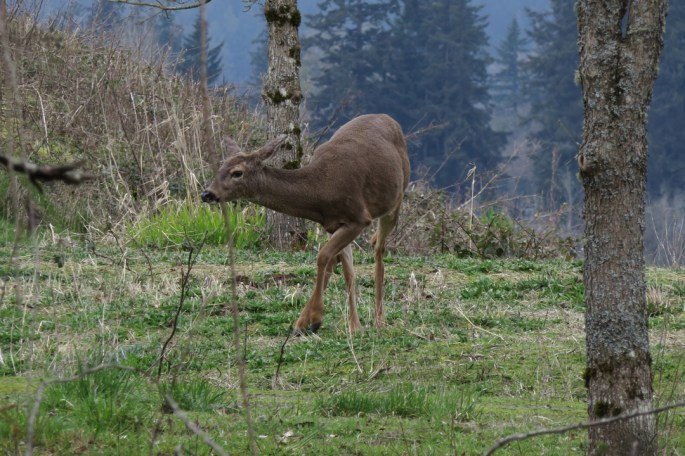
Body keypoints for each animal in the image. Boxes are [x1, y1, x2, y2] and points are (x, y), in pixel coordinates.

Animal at [201, 114, 410, 335]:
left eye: (237, 172)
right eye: (220, 168)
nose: (207, 194)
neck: (320, 192)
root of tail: (388, 118)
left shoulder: (359, 217)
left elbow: (323, 256)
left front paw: (316, 318)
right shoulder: (334, 224)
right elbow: (345, 270)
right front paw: (324, 323)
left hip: (396, 198)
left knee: (379, 247)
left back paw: (380, 319)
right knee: (358, 254)